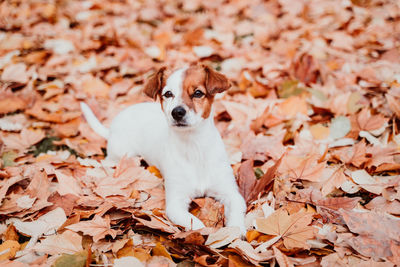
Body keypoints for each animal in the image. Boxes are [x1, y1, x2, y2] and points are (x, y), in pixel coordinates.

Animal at [81, 64, 247, 234]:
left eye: (198, 93)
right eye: (168, 94)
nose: (177, 112)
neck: (194, 146)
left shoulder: (231, 193)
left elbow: (236, 213)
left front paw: (235, 232)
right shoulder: (175, 203)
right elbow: (196, 224)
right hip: (123, 155)